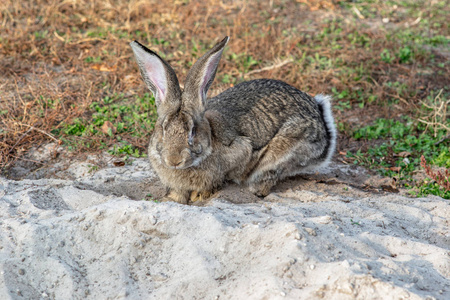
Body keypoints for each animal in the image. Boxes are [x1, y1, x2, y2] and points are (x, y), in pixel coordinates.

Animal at [128, 35, 336, 204]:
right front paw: (172, 199)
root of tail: (319, 118)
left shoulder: (241, 150)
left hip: (286, 151)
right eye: (163, 129)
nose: (174, 160)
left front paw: (200, 196)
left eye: (192, 131)